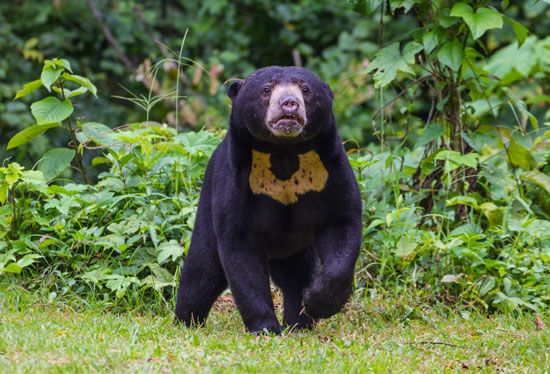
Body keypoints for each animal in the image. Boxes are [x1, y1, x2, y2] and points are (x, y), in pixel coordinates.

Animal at [177, 65, 364, 334]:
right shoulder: (236, 180)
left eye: (305, 89)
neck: (283, 152)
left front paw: (318, 302)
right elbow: (240, 249)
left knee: (296, 276)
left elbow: (342, 223)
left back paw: (299, 323)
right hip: (207, 206)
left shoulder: (330, 170)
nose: (289, 104)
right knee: (202, 272)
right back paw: (187, 320)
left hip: (296, 247)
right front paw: (265, 327)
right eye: (266, 89)